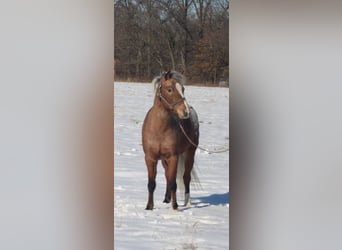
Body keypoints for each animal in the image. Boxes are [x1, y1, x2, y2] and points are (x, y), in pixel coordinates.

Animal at [142, 71, 200, 210]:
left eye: (183, 89)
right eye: (169, 89)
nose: (185, 112)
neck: (159, 130)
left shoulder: (174, 157)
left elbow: (174, 182)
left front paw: (175, 206)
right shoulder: (150, 158)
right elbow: (151, 183)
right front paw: (149, 206)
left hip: (190, 153)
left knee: (186, 177)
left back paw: (186, 202)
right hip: (164, 160)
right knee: (167, 175)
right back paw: (166, 198)